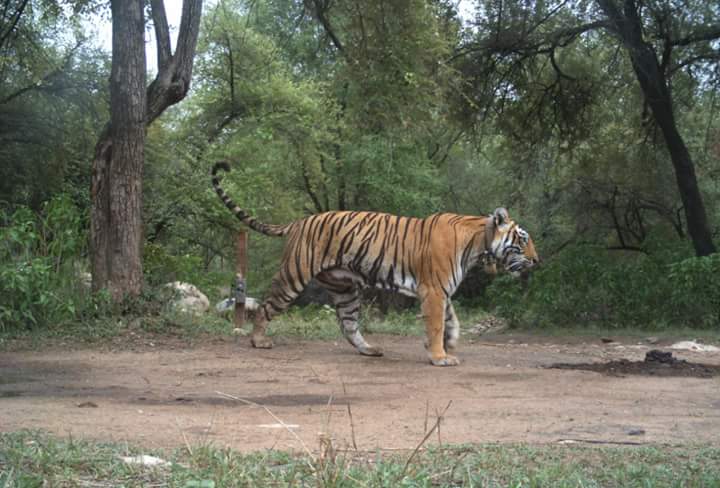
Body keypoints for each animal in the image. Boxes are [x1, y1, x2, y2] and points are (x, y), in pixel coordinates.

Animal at [212, 161, 538, 366]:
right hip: (294, 275)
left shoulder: (441, 291)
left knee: (348, 325)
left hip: (344, 289)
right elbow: (435, 324)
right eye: (523, 240)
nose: (537, 260)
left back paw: (369, 350)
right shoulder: (433, 289)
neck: (478, 243)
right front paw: (439, 356)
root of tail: (299, 221)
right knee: (266, 306)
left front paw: (450, 344)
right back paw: (258, 340)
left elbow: (451, 320)